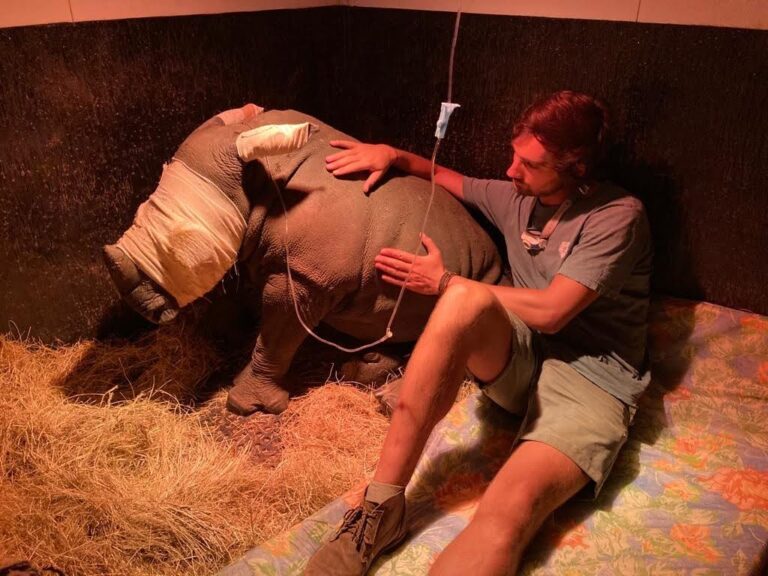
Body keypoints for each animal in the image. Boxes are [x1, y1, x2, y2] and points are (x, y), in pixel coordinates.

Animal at [103, 105, 503, 416]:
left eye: (182, 241)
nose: (134, 304)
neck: (263, 175)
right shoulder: (264, 254)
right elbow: (249, 317)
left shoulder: (307, 276)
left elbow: (276, 337)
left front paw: (247, 406)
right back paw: (365, 367)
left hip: (485, 276)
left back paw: (388, 400)